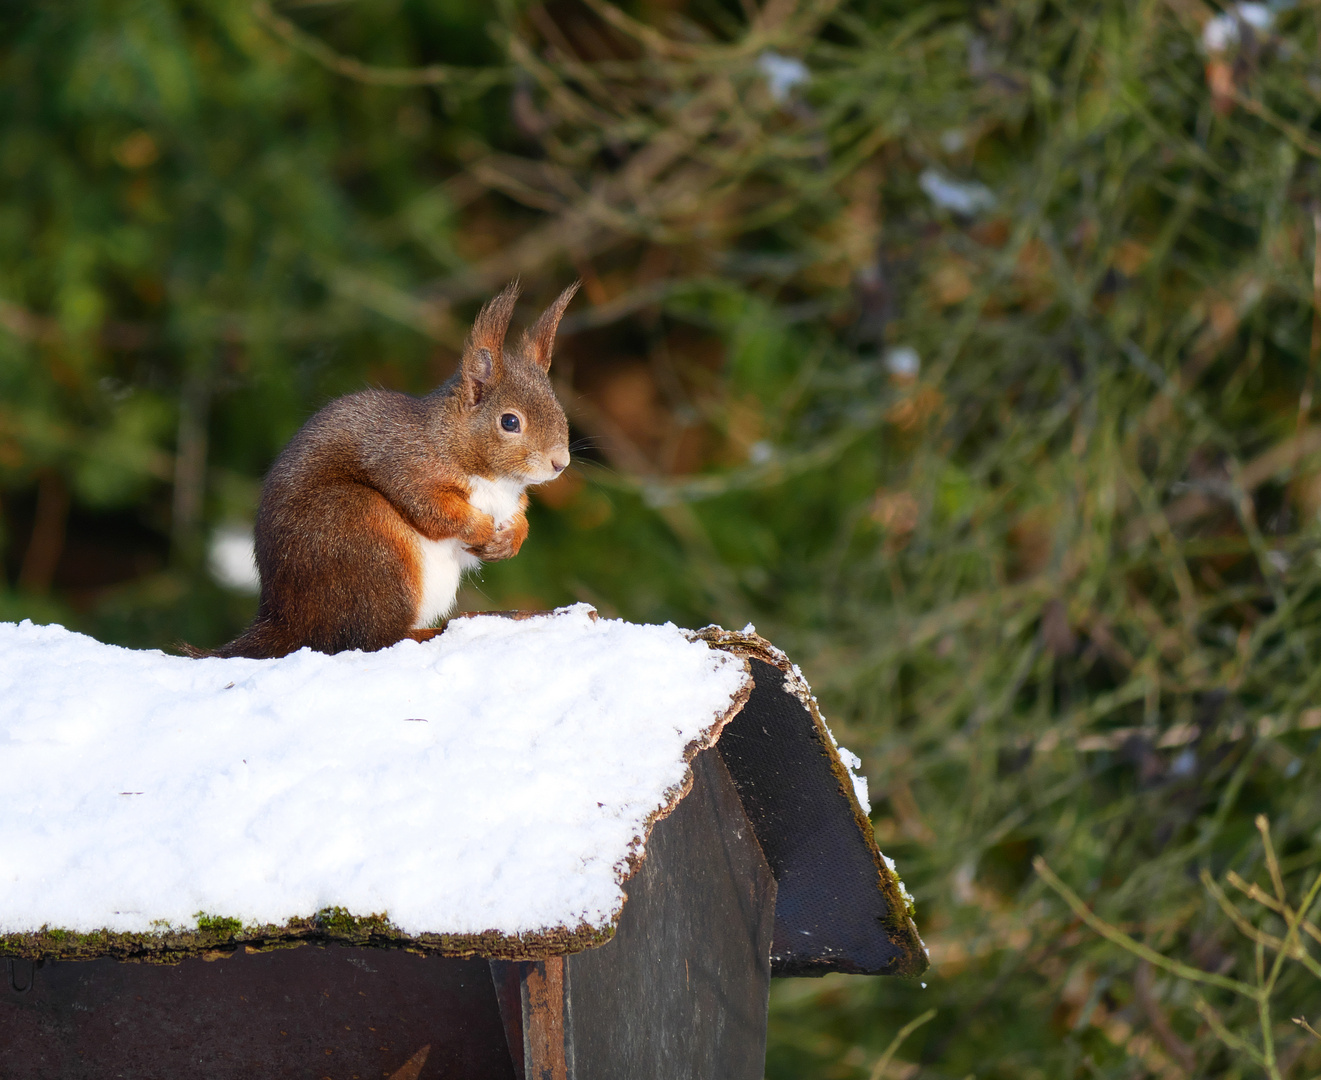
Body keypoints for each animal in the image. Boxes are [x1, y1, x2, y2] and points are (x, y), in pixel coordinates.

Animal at [194, 279, 573, 657]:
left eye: (559, 408)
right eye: (510, 422)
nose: (561, 463)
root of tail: (287, 618)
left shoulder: (513, 499)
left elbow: (519, 518)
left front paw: (509, 541)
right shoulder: (406, 466)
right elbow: (434, 509)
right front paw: (479, 528)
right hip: (365, 536)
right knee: (370, 637)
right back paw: (429, 633)